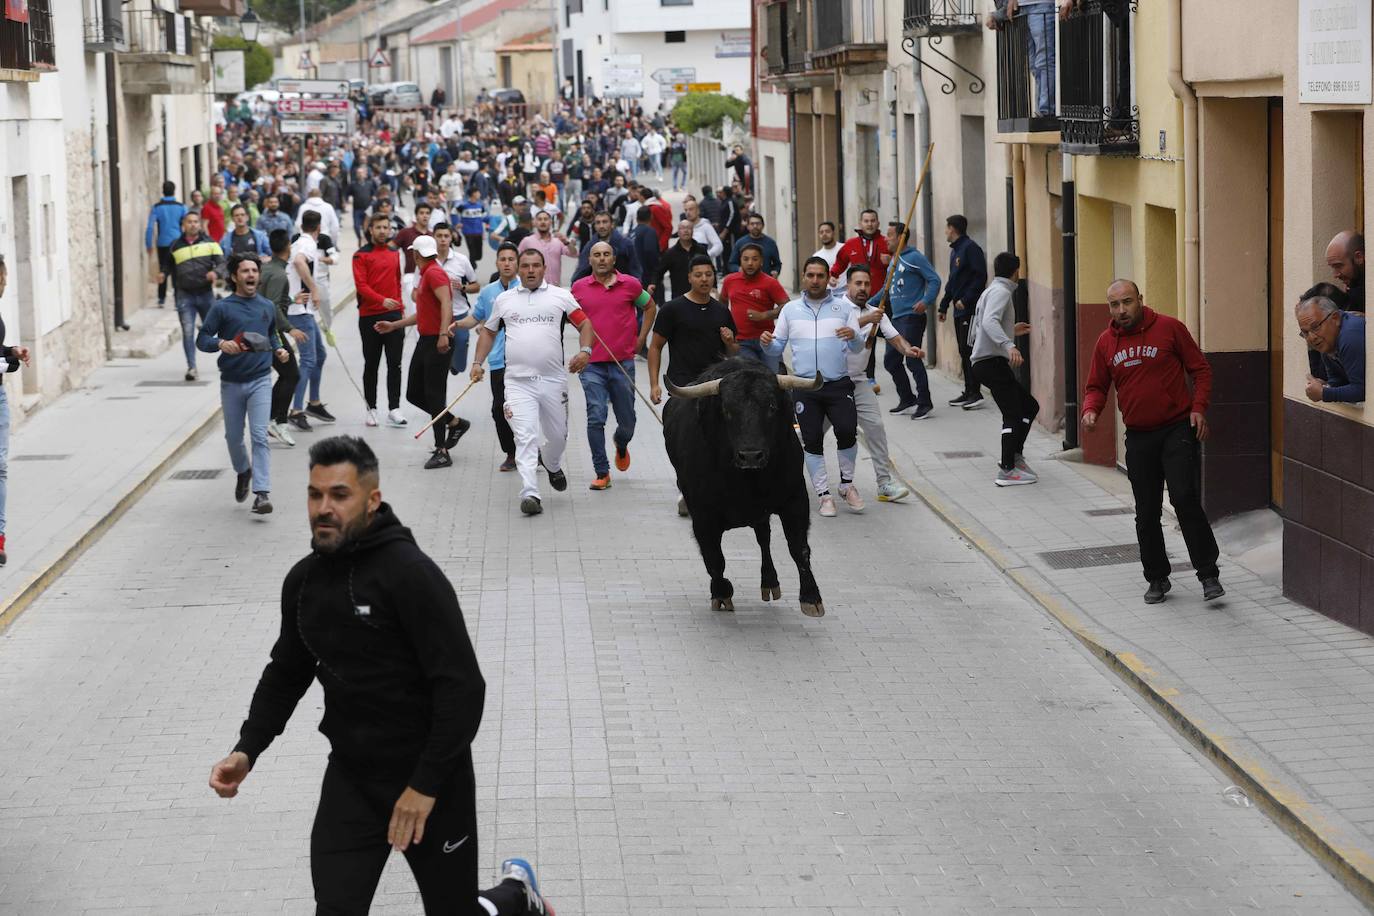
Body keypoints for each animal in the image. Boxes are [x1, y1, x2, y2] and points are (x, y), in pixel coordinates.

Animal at [659, 357, 818, 615]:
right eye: (727, 410)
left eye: (771, 406)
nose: (751, 456)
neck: (746, 481)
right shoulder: (702, 516)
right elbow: (714, 558)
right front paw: (722, 593)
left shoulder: (795, 500)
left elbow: (798, 547)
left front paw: (811, 597)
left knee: (764, 538)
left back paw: (770, 582)